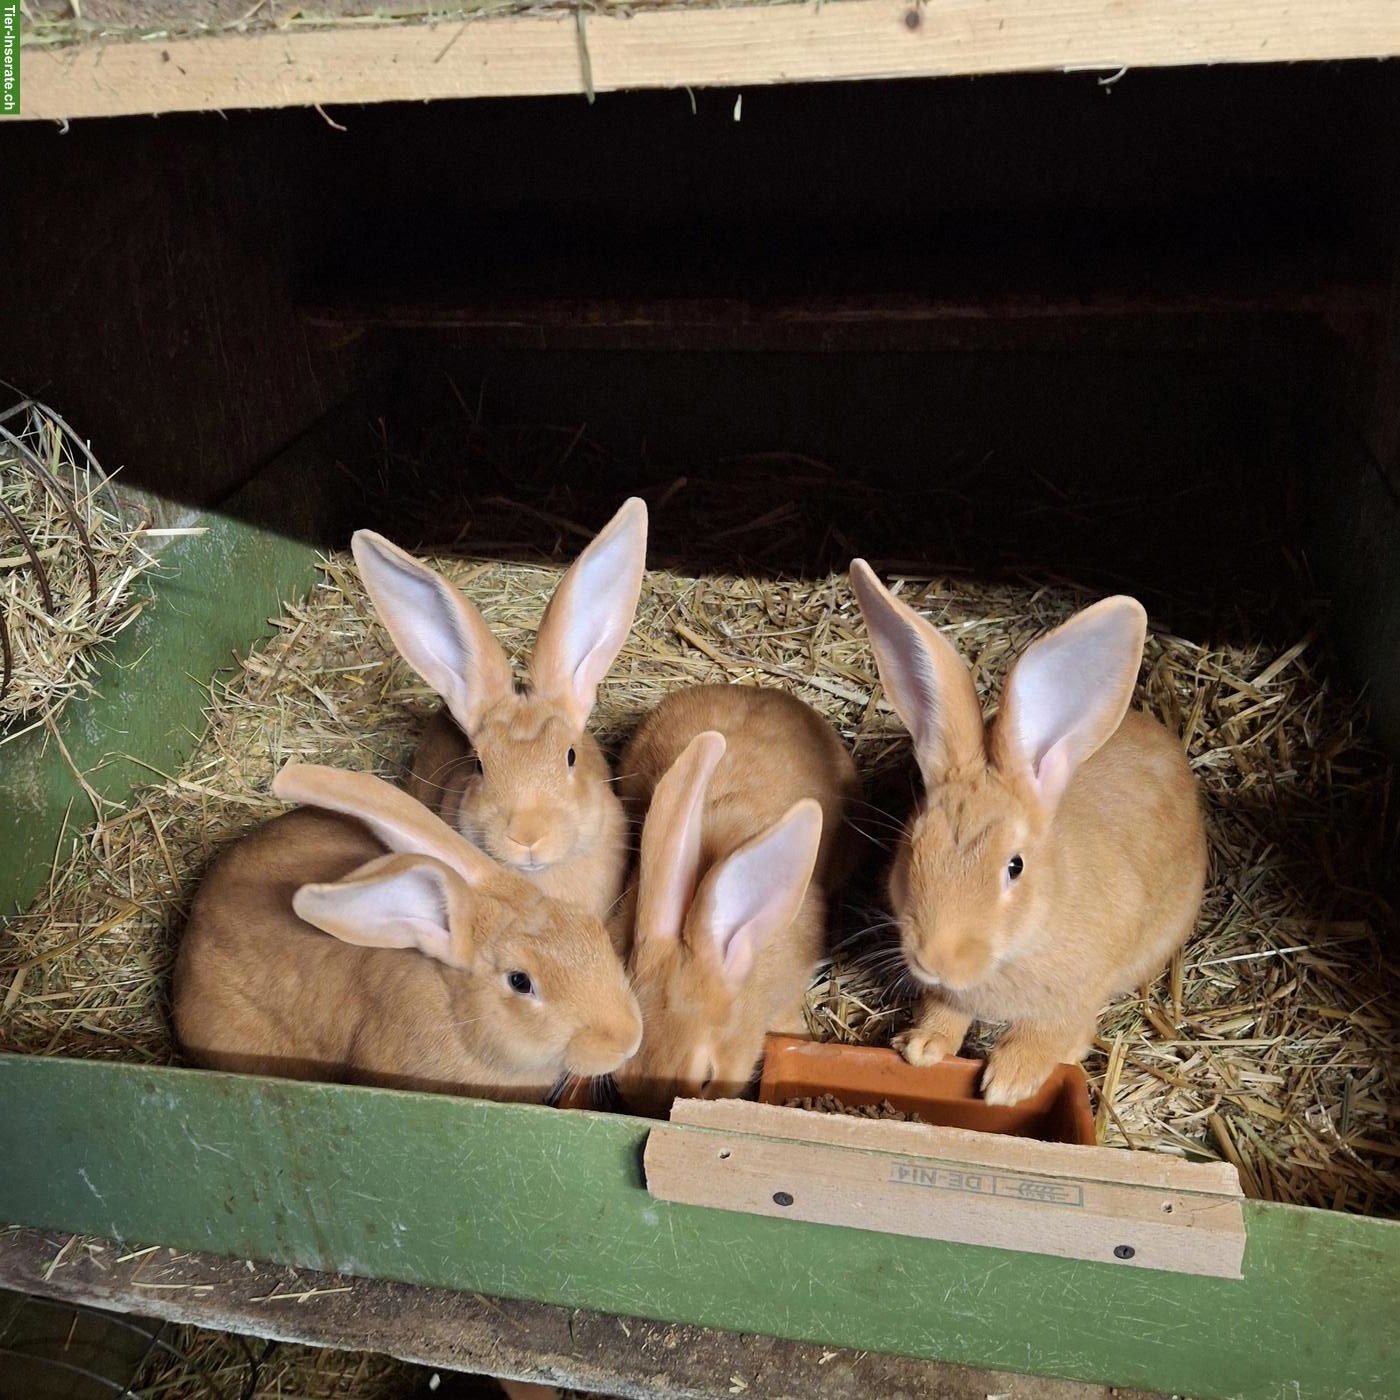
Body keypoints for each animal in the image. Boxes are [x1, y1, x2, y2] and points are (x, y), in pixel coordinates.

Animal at [849, 560, 1207, 1107]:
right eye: (912, 847)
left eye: (1014, 867)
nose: (936, 959)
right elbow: (945, 1010)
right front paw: (921, 1048)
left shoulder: (1078, 988)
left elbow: (1047, 1029)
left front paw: (1008, 1082)